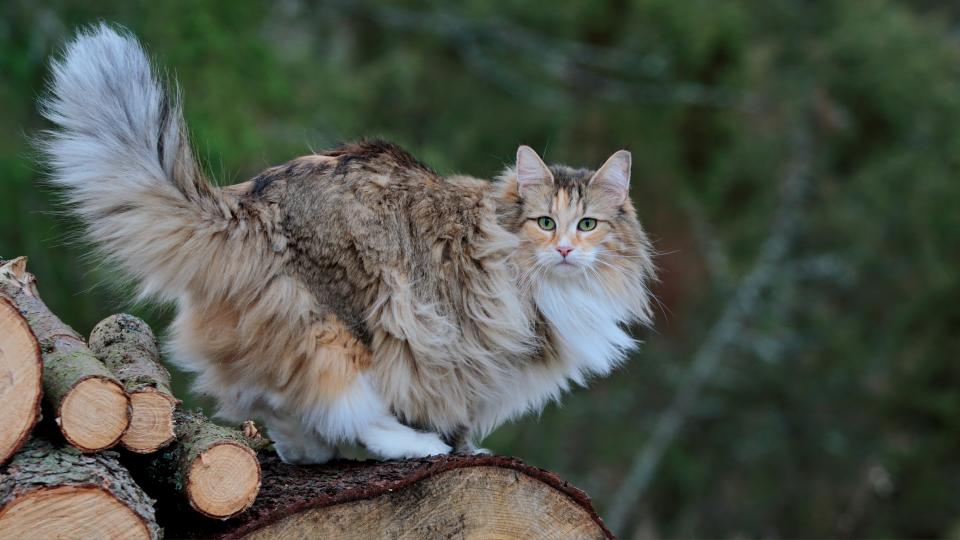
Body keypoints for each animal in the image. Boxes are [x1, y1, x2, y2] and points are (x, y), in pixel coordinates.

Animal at [37, 25, 652, 462]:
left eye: (588, 224)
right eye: (545, 222)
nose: (566, 249)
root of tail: (252, 201)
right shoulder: (476, 349)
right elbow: (459, 410)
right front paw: (459, 446)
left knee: (274, 398)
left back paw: (306, 451)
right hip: (351, 319)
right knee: (344, 403)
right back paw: (407, 445)